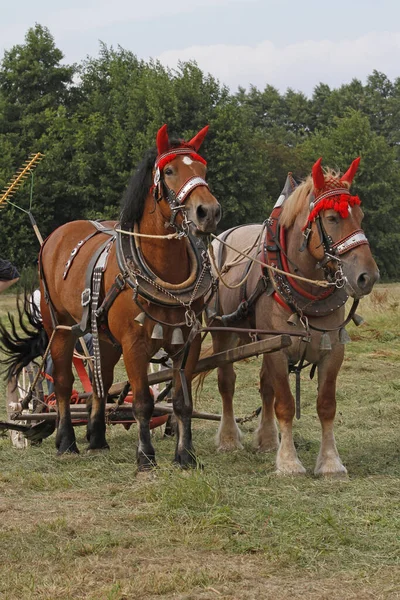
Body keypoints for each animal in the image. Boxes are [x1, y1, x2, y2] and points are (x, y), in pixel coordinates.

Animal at [1, 123, 222, 468]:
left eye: (203, 169)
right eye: (169, 171)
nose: (208, 212)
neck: (163, 270)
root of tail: (54, 236)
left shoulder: (190, 340)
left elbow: (181, 402)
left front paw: (185, 456)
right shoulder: (133, 342)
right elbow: (143, 401)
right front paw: (145, 457)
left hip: (104, 337)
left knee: (100, 381)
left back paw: (97, 437)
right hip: (60, 327)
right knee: (63, 383)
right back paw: (66, 440)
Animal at [208, 157, 380, 476]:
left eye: (360, 215)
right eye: (332, 218)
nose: (367, 277)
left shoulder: (332, 350)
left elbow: (326, 405)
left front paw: (330, 462)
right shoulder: (278, 349)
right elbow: (285, 404)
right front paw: (289, 462)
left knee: (265, 386)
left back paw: (266, 439)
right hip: (222, 331)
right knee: (227, 381)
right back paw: (228, 439)